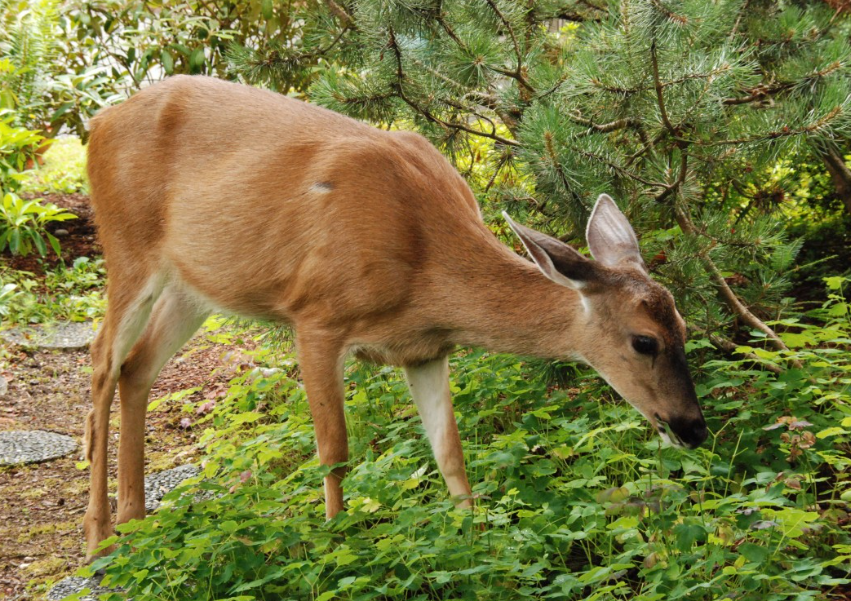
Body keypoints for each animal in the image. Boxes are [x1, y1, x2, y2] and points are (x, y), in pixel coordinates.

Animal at [82, 75, 707, 560]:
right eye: (644, 342)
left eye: (685, 330)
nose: (694, 429)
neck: (424, 267)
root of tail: (99, 120)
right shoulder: (315, 316)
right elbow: (334, 452)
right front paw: (336, 540)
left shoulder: (425, 349)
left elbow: (450, 453)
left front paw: (475, 537)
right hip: (128, 246)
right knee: (101, 361)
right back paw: (99, 538)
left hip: (193, 286)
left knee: (138, 367)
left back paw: (136, 520)